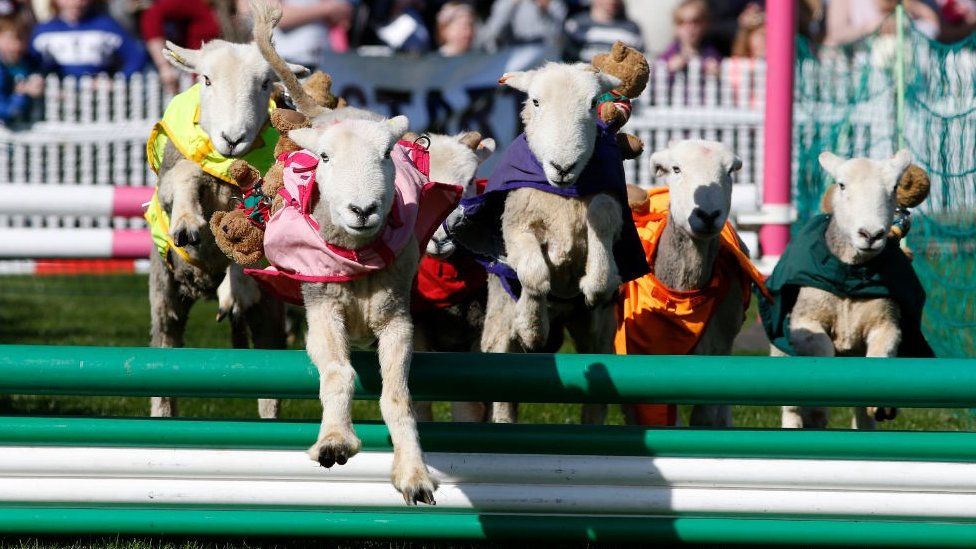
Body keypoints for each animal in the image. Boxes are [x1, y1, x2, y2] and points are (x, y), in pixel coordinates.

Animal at [147, 19, 306, 418]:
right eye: (205, 79)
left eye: (266, 83)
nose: (232, 138)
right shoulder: (174, 175)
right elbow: (185, 178)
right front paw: (186, 224)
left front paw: (236, 288)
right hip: (165, 291)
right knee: (164, 351)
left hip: (269, 312)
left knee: (271, 371)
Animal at [448, 64, 648, 424]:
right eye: (536, 101)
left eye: (593, 103)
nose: (563, 167)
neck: (563, 195)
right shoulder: (516, 226)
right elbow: (534, 274)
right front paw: (532, 327)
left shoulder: (608, 206)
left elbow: (601, 228)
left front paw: (595, 283)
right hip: (498, 326)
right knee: (501, 385)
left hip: (597, 332)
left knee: (597, 390)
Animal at [768, 149, 936, 428]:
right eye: (842, 184)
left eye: (894, 187)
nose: (871, 234)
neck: (850, 277)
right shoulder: (804, 323)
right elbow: (822, 350)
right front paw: (818, 405)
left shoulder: (886, 324)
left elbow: (880, 355)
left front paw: (882, 405)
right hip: (781, 353)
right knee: (790, 408)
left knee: (861, 417)